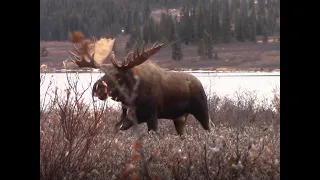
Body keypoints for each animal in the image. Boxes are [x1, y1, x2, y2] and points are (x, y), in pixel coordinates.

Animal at [67, 32, 212, 136]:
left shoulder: (152, 115)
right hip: (179, 118)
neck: (133, 95)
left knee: (211, 128)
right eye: (105, 72)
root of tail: (200, 83)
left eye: (118, 75)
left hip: (201, 110)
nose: (97, 88)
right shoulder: (126, 117)